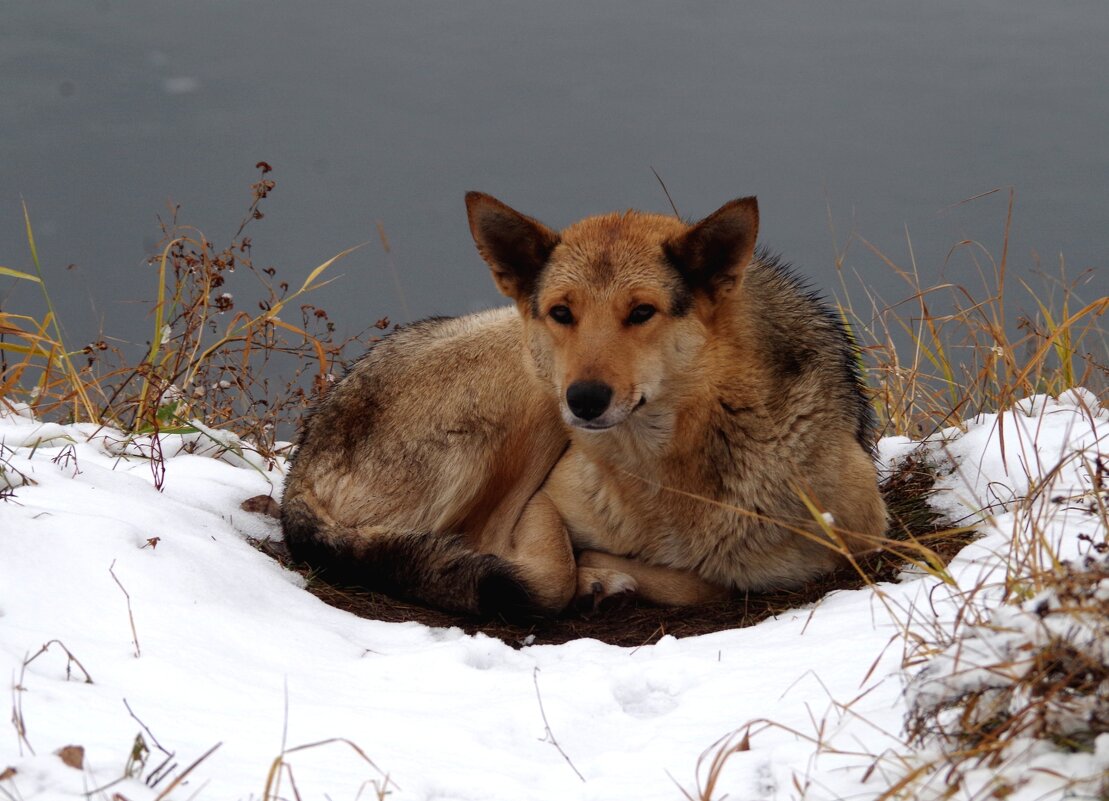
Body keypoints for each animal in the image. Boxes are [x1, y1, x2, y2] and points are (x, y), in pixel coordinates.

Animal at [281, 190, 887, 616]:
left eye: (641, 313)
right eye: (562, 313)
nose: (585, 401)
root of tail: (298, 470)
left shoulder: (859, 542)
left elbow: (710, 582)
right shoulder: (544, 502)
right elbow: (563, 570)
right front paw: (601, 572)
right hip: (530, 392)